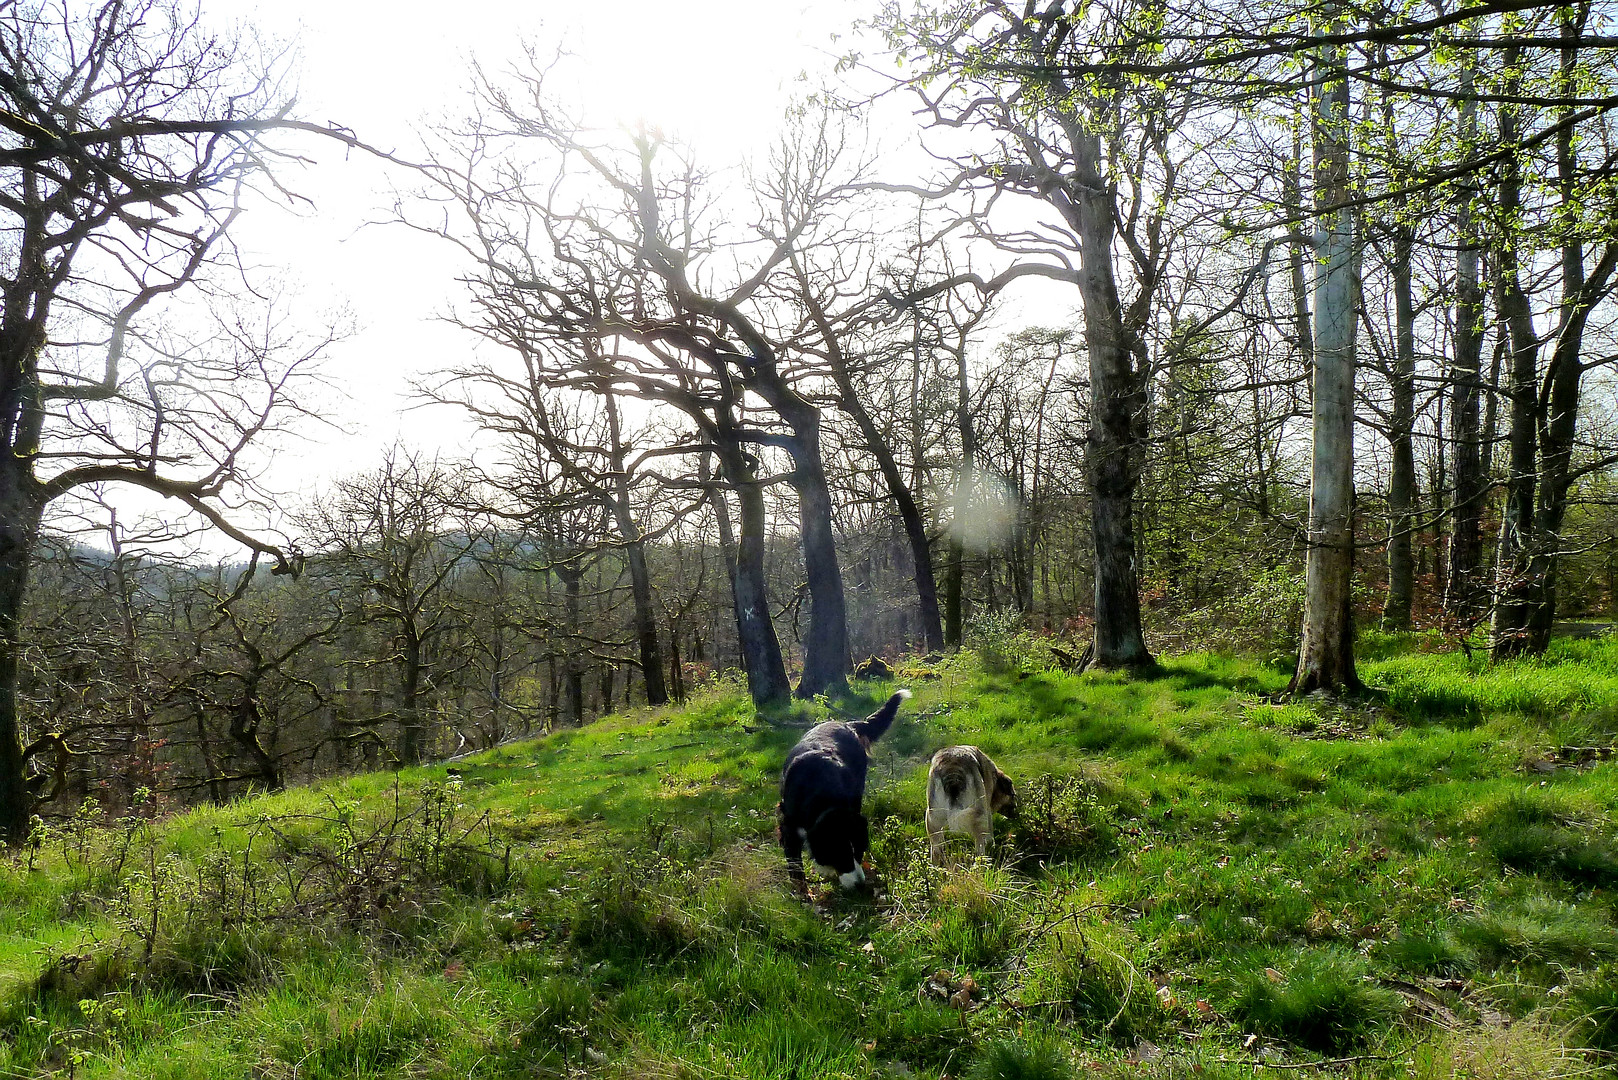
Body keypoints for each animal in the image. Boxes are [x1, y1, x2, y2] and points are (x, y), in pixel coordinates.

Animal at [779, 693, 912, 887]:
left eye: (860, 851)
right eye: (841, 855)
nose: (860, 884)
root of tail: (847, 724)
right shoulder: (789, 822)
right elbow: (794, 861)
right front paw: (800, 888)